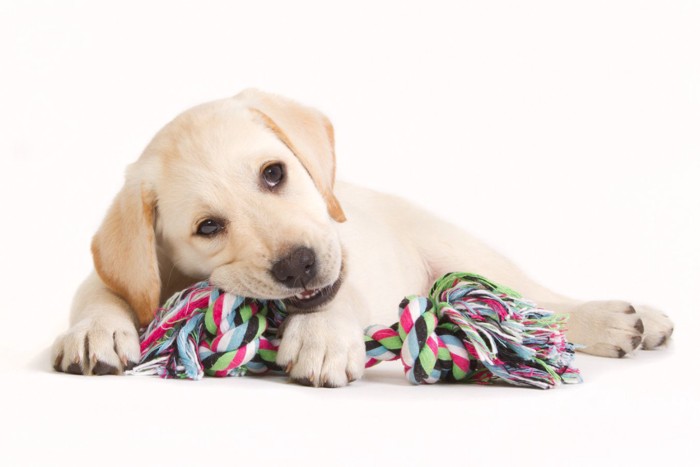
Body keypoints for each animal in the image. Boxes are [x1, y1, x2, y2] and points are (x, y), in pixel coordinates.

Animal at [52, 89, 676, 386]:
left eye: (273, 174)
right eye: (208, 228)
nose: (299, 265)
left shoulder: (345, 256)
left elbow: (343, 289)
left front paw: (322, 335)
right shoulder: (125, 271)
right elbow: (100, 289)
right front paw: (95, 332)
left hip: (459, 249)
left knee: (537, 304)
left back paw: (621, 319)